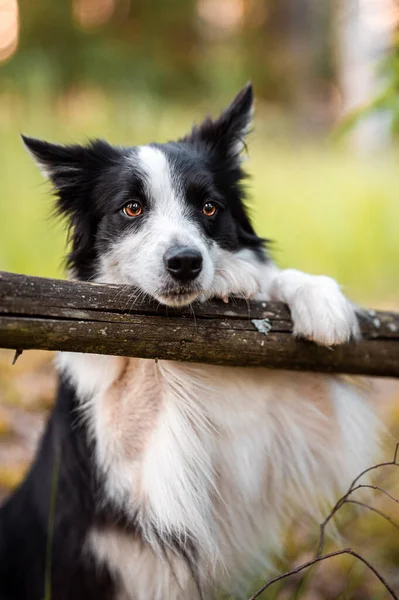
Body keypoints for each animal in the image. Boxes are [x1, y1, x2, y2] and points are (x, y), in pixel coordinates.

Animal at [0, 84, 380, 600]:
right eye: (132, 208)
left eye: (209, 208)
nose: (186, 262)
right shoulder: (125, 461)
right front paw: (232, 277)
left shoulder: (291, 417)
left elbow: (278, 288)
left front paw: (315, 297)